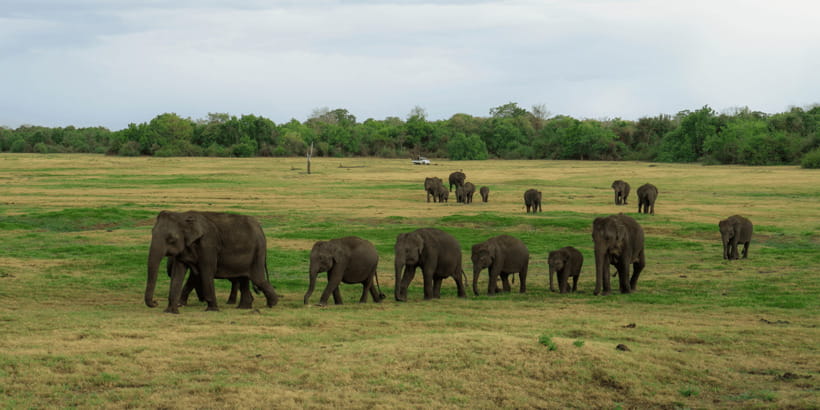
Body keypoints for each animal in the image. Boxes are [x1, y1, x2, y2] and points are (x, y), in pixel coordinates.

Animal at [145, 211, 279, 314]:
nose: (155, 302)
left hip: (257, 252)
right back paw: (244, 307)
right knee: (244, 278)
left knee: (258, 278)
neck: (183, 216)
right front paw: (171, 311)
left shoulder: (208, 245)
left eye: (171, 239)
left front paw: (212, 309)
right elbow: (178, 273)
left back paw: (272, 304)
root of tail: (260, 229)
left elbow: (206, 271)